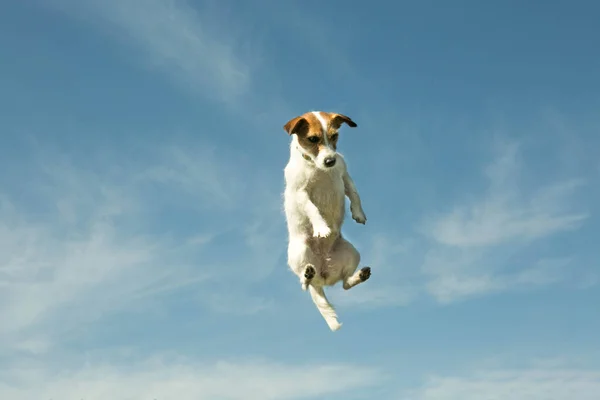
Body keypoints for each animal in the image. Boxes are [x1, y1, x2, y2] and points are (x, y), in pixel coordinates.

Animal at [282, 110, 370, 332]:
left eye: (334, 136)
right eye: (313, 139)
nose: (331, 161)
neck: (318, 168)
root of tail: (322, 275)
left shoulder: (345, 176)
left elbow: (355, 194)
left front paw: (359, 213)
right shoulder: (301, 193)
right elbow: (313, 209)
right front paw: (321, 227)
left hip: (352, 253)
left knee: (345, 284)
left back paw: (360, 275)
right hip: (300, 253)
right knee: (303, 285)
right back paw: (307, 275)